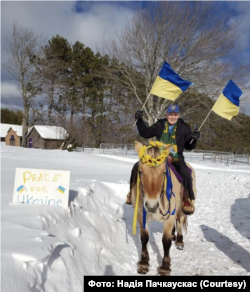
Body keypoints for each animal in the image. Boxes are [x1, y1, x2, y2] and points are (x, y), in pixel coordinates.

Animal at [130, 141, 196, 276]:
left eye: (164, 172)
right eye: (141, 171)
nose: (151, 206)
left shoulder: (169, 218)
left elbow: (166, 241)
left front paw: (165, 267)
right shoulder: (141, 215)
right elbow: (144, 237)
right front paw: (144, 264)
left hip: (181, 210)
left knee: (180, 222)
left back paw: (179, 241)